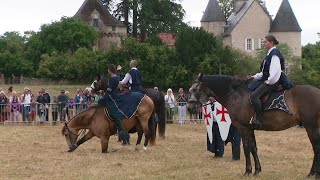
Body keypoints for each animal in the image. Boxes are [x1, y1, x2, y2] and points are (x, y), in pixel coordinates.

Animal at [188, 73, 320, 179]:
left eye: (194, 89)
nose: (189, 107)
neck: (235, 95)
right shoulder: (250, 129)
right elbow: (253, 148)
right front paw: (257, 170)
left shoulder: (243, 128)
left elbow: (246, 149)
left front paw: (248, 171)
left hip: (311, 127)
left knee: (316, 148)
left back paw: (312, 174)